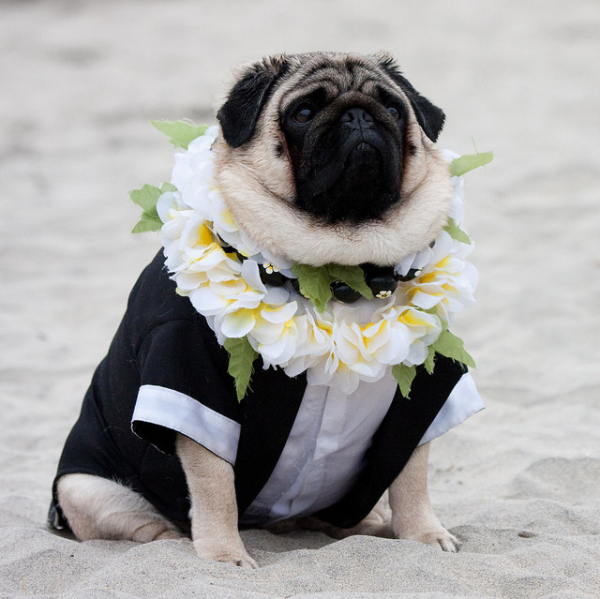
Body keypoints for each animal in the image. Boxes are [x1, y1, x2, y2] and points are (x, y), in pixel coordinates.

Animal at [49, 51, 486, 568]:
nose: (358, 114)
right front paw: (224, 556)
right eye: (303, 112)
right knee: (150, 526)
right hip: (87, 488)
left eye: (395, 110)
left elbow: (410, 474)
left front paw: (423, 535)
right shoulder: (193, 379)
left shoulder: (418, 389)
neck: (341, 271)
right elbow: (214, 482)